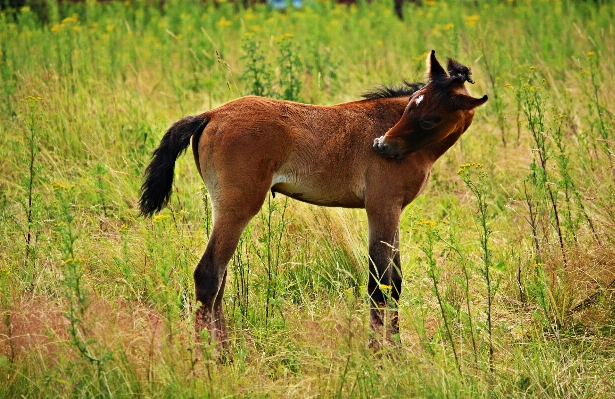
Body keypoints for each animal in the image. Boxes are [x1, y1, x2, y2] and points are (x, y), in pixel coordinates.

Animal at [141, 51, 490, 348]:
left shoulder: (394, 212)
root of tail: (210, 114)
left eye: (430, 118)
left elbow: (395, 283)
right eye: (408, 108)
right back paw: (212, 357)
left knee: (220, 280)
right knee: (208, 275)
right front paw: (381, 356)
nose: (382, 145)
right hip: (238, 207)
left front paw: (395, 350)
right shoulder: (382, 207)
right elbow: (379, 285)